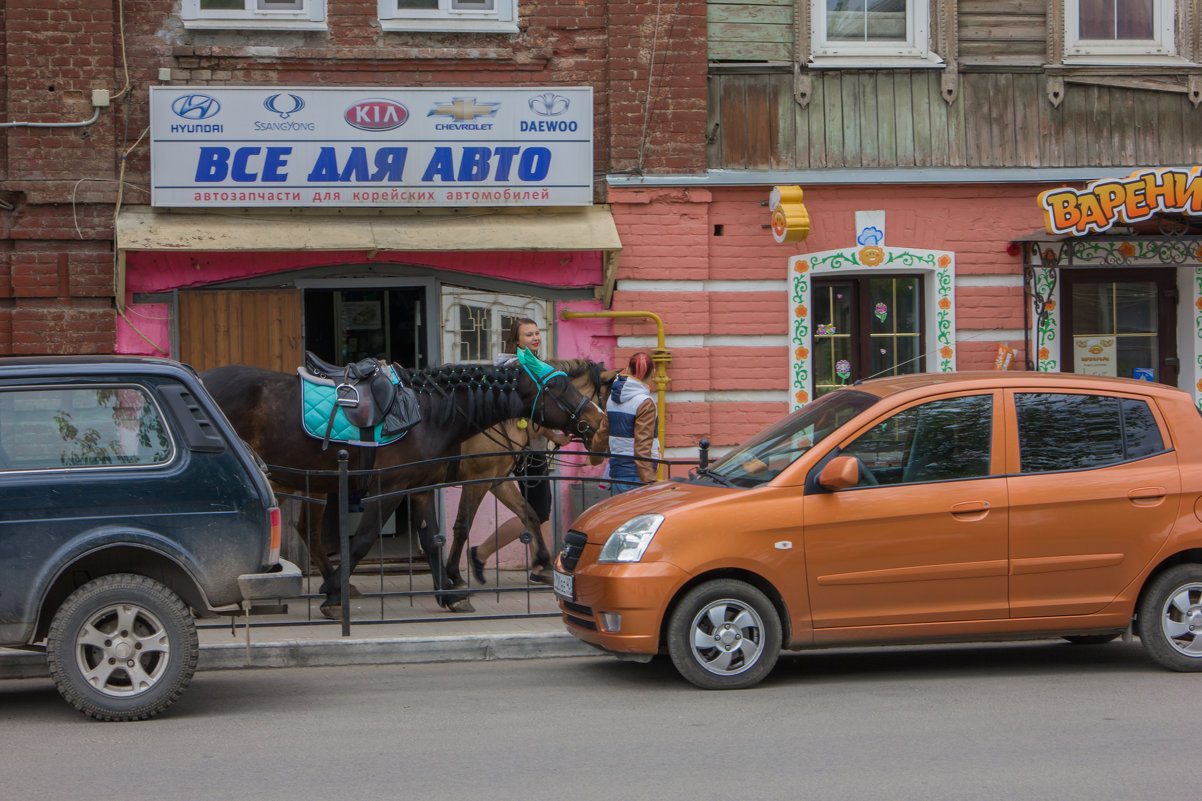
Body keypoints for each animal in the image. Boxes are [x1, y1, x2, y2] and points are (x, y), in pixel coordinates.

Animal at [203, 353, 610, 613]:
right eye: (563, 389)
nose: (601, 429)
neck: (429, 414)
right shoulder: (408, 486)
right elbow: (373, 538)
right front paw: (335, 597)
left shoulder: (430, 486)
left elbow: (440, 535)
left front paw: (450, 590)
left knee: (304, 530)